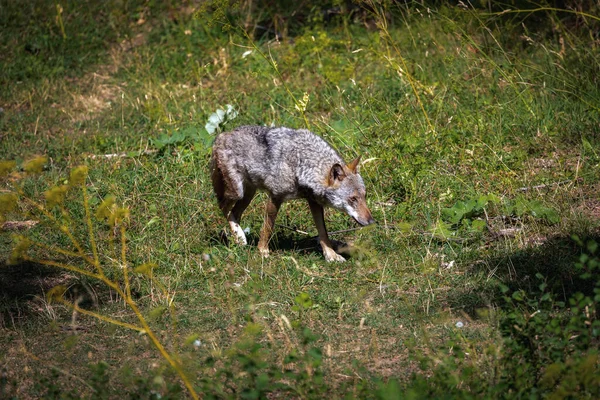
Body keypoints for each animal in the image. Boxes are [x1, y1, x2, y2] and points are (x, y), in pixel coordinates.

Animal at [209, 126, 372, 262]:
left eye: (364, 196)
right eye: (353, 199)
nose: (371, 222)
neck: (300, 164)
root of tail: (221, 136)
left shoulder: (314, 202)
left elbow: (323, 232)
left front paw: (331, 255)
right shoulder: (275, 197)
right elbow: (267, 228)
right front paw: (262, 251)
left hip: (247, 196)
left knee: (234, 212)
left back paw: (239, 237)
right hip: (237, 193)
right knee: (223, 206)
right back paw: (239, 235)